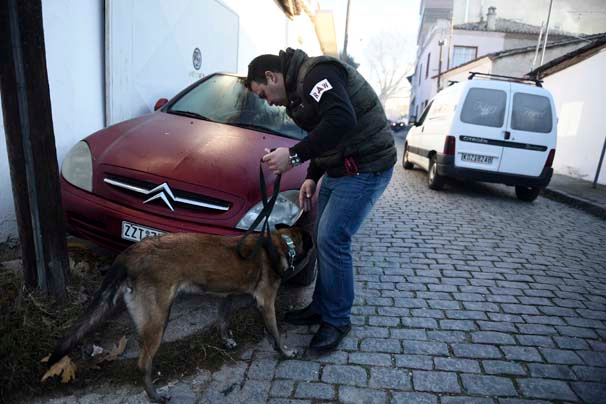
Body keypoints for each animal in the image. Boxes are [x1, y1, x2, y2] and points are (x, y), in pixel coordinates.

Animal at [47, 226, 314, 402]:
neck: (281, 243)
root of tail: (132, 252)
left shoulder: (231, 296)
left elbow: (223, 316)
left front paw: (227, 340)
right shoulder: (266, 302)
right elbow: (276, 332)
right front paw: (285, 352)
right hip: (158, 320)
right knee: (143, 363)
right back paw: (155, 396)